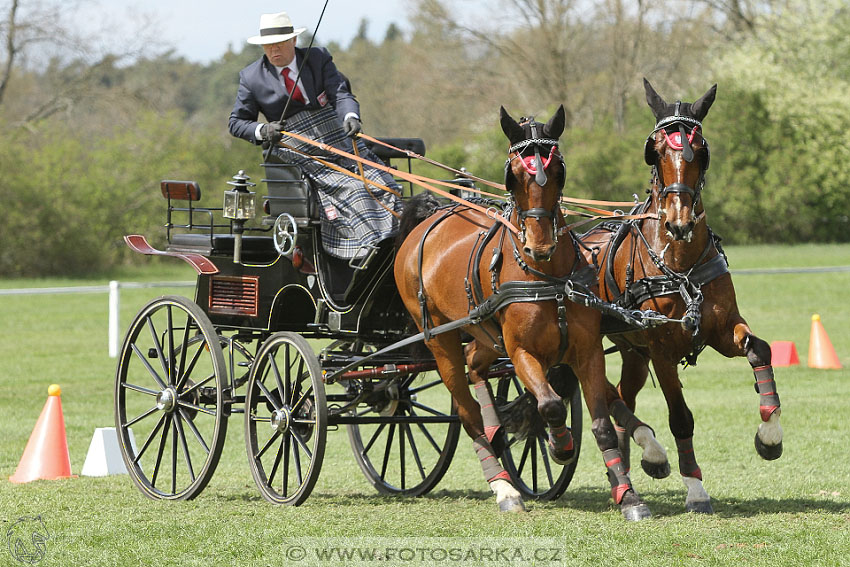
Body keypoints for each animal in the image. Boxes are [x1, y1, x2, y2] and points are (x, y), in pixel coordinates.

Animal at [394, 104, 660, 520]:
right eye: (514, 175)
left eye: (558, 170)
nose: (540, 246)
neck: (547, 276)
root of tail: (433, 216)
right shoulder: (521, 352)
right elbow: (549, 404)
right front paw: (560, 444)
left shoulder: (587, 350)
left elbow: (601, 422)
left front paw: (628, 495)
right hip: (440, 339)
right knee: (466, 408)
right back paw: (504, 487)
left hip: (484, 334)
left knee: (476, 365)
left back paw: (497, 434)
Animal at [576, 80, 780, 516]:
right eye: (654, 150)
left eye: (700, 151)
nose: (679, 222)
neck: (679, 265)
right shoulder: (662, 348)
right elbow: (681, 417)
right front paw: (696, 489)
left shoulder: (720, 328)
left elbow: (761, 350)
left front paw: (769, 436)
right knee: (605, 393)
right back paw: (646, 457)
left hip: (632, 351)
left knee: (623, 396)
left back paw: (634, 462)